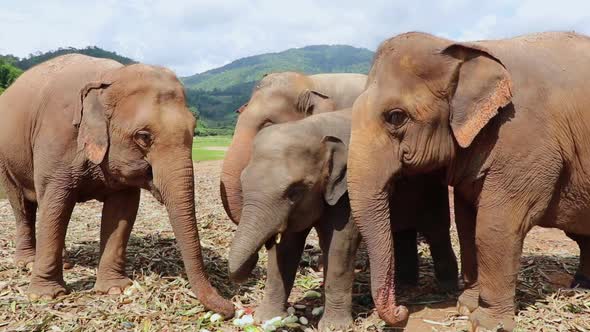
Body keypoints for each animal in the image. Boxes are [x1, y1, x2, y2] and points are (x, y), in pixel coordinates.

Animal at [0, 53, 236, 316]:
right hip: (6, 160)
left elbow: (122, 211)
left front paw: (115, 290)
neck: (108, 78)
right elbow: (55, 201)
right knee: (23, 207)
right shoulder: (57, 138)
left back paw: (66, 262)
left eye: (194, 130)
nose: (232, 308)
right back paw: (28, 262)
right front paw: (45, 296)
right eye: (144, 136)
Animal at [227, 109, 458, 332]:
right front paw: (267, 319)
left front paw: (334, 327)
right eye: (243, 182)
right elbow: (286, 248)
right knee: (403, 232)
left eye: (295, 191)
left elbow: (340, 245)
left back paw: (446, 288)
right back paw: (404, 286)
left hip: (432, 185)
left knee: (436, 230)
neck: (312, 127)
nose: (403, 313)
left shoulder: (348, 190)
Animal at [350, 31, 590, 332]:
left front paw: (486, 323)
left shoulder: (527, 141)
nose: (402, 312)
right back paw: (581, 285)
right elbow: (467, 224)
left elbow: (494, 226)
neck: (464, 49)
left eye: (396, 117)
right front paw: (465, 305)